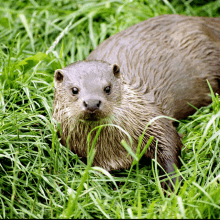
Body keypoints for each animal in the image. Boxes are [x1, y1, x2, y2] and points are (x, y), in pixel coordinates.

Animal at [52, 14, 220, 192]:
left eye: (107, 88)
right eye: (74, 90)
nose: (92, 103)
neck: (114, 148)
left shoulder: (152, 119)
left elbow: (170, 145)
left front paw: (171, 183)